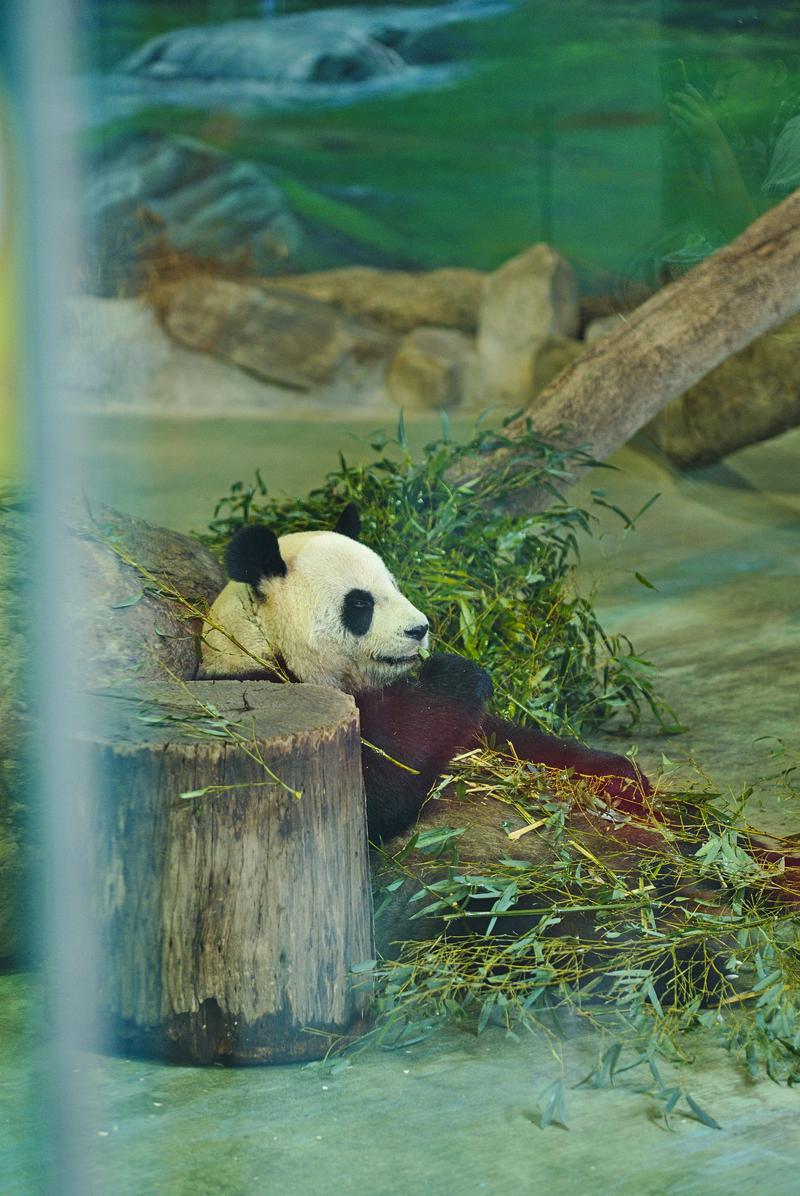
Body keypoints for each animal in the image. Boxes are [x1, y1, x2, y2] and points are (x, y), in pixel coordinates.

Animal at [198, 502, 650, 841]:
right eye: (359, 604)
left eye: (394, 585)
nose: (419, 629)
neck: (266, 646)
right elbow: (377, 793)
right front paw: (458, 675)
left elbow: (509, 738)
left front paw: (626, 780)